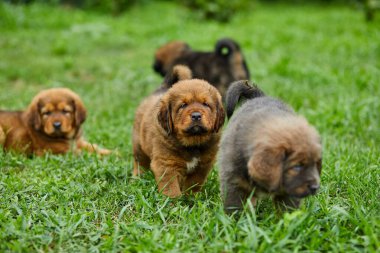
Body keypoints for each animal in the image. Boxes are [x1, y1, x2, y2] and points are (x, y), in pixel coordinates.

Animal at [133, 65, 226, 198]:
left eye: (206, 104)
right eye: (183, 105)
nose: (196, 115)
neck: (192, 143)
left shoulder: (203, 165)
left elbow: (193, 184)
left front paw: (190, 198)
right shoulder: (166, 164)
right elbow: (171, 188)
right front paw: (172, 202)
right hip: (138, 145)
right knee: (140, 162)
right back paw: (137, 178)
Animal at [218, 80, 322, 213]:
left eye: (315, 164)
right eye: (297, 166)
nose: (315, 187)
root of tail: (260, 97)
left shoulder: (288, 193)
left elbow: (287, 211)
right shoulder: (234, 184)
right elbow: (235, 207)